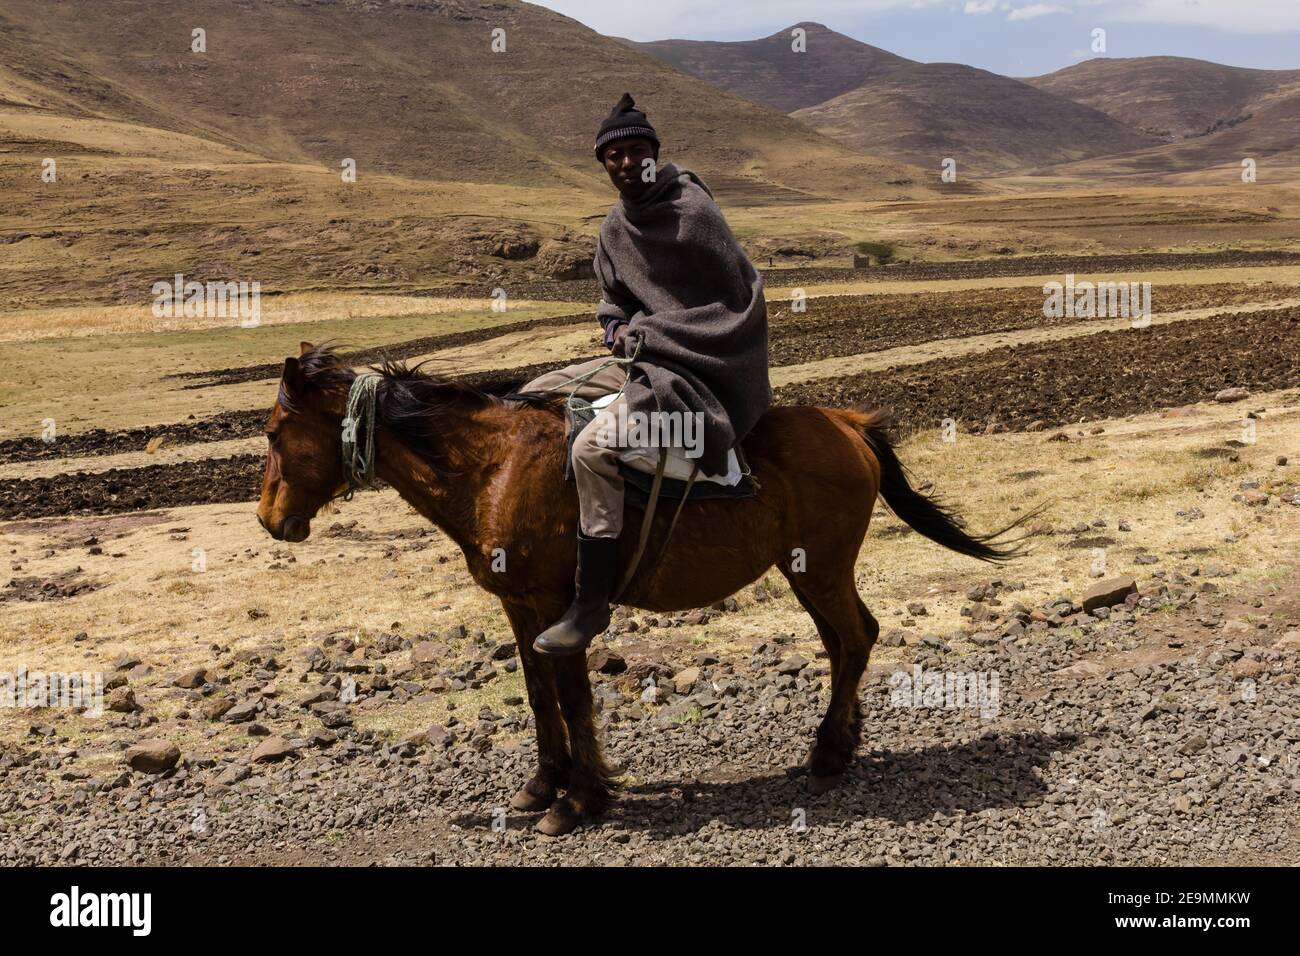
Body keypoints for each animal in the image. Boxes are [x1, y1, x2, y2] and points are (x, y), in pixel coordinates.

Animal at [253, 345, 1024, 837]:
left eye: (273, 431)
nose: (269, 519)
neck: (493, 467)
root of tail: (848, 424)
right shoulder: (519, 608)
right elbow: (539, 697)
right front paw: (542, 786)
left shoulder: (558, 608)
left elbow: (571, 697)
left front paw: (581, 800)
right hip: (806, 569)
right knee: (845, 642)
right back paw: (841, 744)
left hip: (821, 567)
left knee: (857, 637)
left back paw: (830, 754)